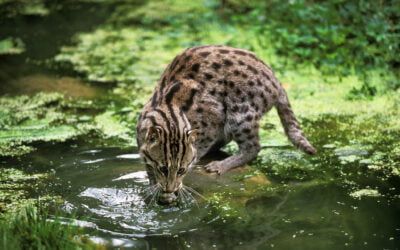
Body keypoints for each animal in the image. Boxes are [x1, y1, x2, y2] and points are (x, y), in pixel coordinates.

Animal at [136, 45, 318, 205]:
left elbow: (198, 149)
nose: (170, 188)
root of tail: (276, 81)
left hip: (240, 112)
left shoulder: (212, 119)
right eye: (163, 169)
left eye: (181, 170)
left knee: (253, 146)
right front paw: (155, 185)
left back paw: (222, 164)